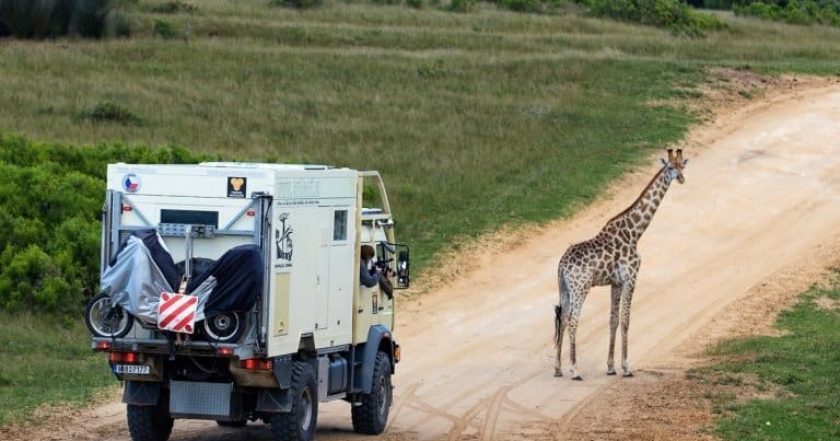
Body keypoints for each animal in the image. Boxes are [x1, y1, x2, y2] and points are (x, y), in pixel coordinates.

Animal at [552, 148, 688, 378]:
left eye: (682, 166)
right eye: (670, 167)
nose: (681, 179)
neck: (635, 233)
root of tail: (561, 265)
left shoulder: (615, 282)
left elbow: (613, 320)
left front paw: (610, 367)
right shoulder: (630, 277)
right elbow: (626, 320)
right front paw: (626, 367)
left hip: (565, 289)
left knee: (562, 319)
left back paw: (558, 369)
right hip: (580, 287)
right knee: (572, 320)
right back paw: (575, 370)